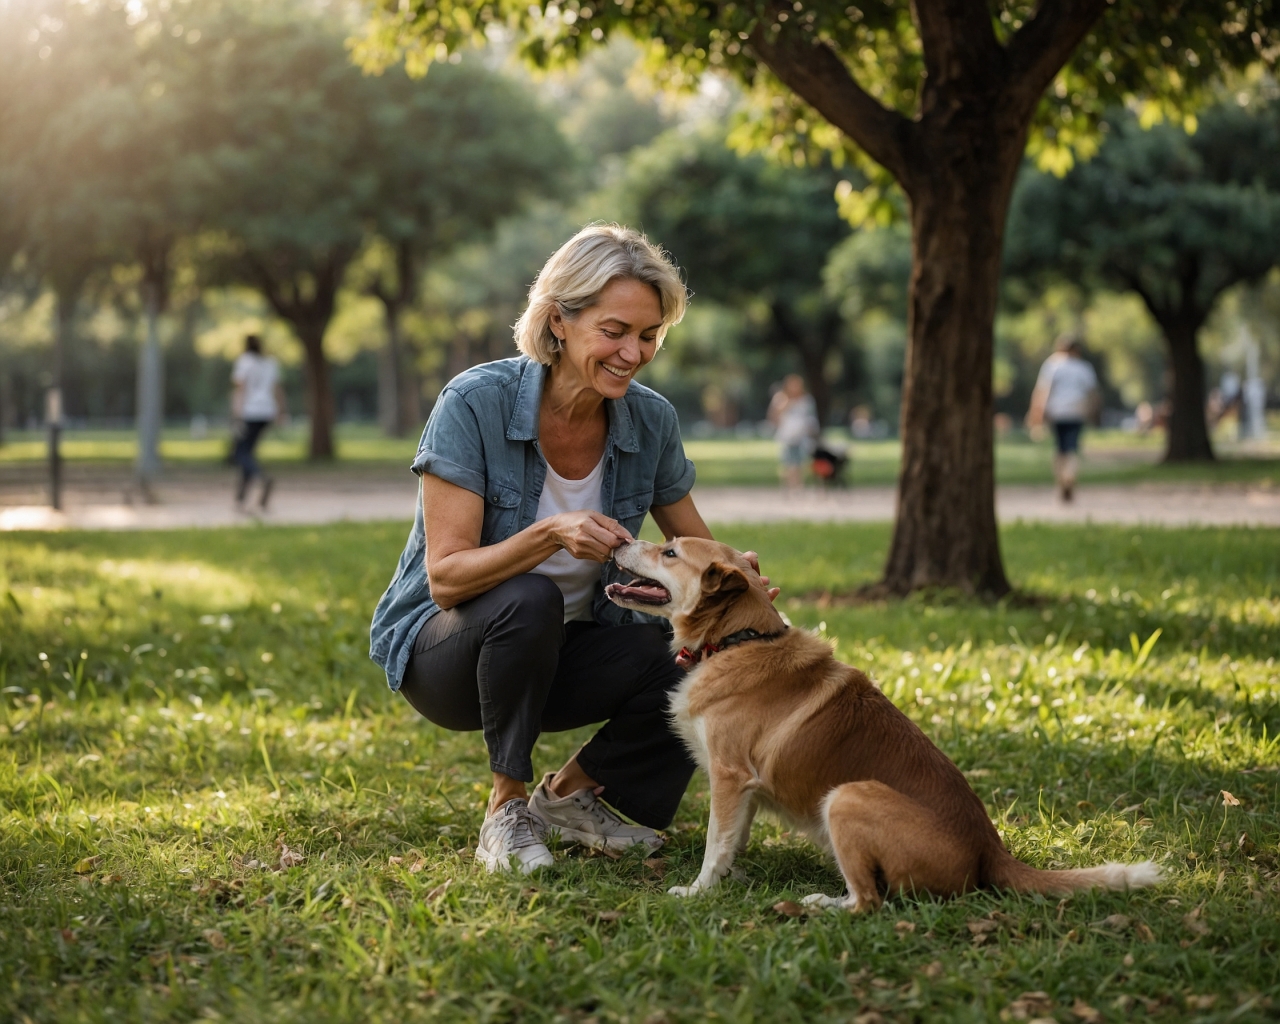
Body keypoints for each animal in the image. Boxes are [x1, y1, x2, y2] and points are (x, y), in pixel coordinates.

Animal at [601, 540, 1162, 906]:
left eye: (670, 552)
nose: (623, 538)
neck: (740, 639)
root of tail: (990, 849)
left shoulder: (729, 775)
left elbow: (715, 843)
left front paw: (698, 891)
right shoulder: (745, 790)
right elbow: (733, 837)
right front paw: (731, 880)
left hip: (847, 797)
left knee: (870, 902)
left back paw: (822, 904)